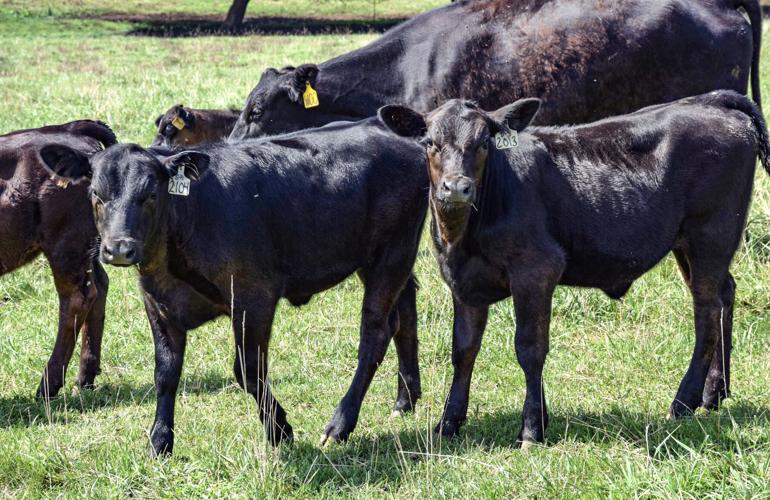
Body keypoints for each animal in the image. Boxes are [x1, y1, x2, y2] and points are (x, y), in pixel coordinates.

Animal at [0, 120, 115, 398]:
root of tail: (69, 128)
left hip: (65, 246)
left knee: (77, 299)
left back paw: (47, 387)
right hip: (84, 247)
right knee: (99, 285)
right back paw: (84, 379)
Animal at [39, 117, 428, 456]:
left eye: (150, 194)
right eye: (95, 193)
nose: (119, 248)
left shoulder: (254, 298)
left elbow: (248, 371)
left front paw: (280, 430)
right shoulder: (158, 304)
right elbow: (165, 372)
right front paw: (159, 441)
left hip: (392, 254)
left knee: (375, 334)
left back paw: (340, 424)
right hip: (382, 260)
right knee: (404, 312)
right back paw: (405, 399)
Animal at [379, 90, 770, 447]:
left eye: (484, 142)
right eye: (430, 142)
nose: (457, 187)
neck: (463, 238)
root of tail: (709, 101)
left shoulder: (537, 270)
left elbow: (530, 348)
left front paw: (532, 429)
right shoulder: (464, 284)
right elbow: (463, 351)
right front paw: (448, 424)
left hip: (710, 235)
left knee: (707, 312)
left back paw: (684, 402)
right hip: (690, 245)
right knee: (725, 294)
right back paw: (715, 393)